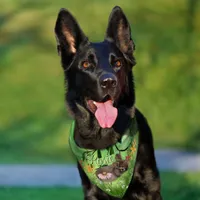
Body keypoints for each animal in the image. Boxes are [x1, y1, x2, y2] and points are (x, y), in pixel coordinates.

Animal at [54, 5, 162, 199]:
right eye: (86, 65)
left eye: (118, 63)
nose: (109, 82)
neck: (104, 137)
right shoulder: (91, 191)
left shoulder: (150, 187)